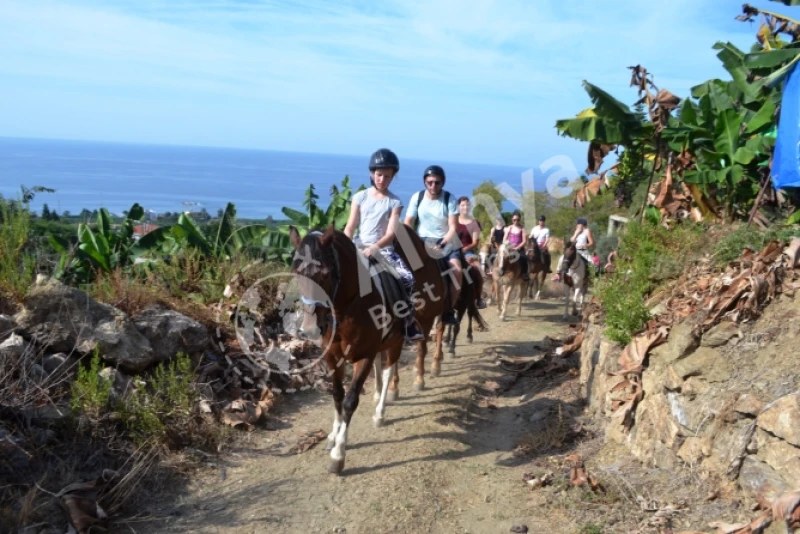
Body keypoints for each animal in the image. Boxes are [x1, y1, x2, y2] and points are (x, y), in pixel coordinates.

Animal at [290, 224, 450, 476]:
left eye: (325, 273)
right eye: (296, 273)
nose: (309, 329)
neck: (347, 307)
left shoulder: (363, 356)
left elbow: (350, 400)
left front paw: (339, 454)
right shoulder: (331, 356)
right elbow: (337, 395)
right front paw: (333, 435)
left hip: (404, 335)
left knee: (390, 368)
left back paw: (381, 411)